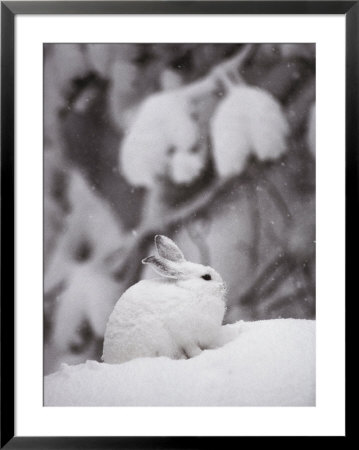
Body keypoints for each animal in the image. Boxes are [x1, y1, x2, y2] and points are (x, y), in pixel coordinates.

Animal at [103, 236, 228, 366]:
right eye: (206, 277)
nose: (224, 286)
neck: (191, 290)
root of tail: (114, 360)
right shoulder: (185, 335)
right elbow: (191, 348)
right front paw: (199, 354)